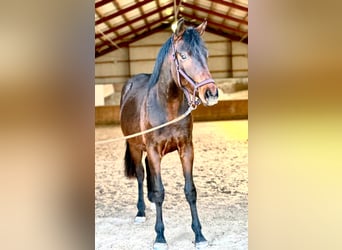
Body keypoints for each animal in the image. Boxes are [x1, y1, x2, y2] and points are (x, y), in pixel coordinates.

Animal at [119, 18, 218, 249]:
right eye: (183, 56)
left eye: (206, 54)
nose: (211, 93)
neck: (167, 105)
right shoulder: (154, 151)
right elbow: (160, 192)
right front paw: (160, 237)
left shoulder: (186, 148)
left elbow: (190, 191)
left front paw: (199, 235)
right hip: (135, 147)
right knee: (140, 174)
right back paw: (140, 211)